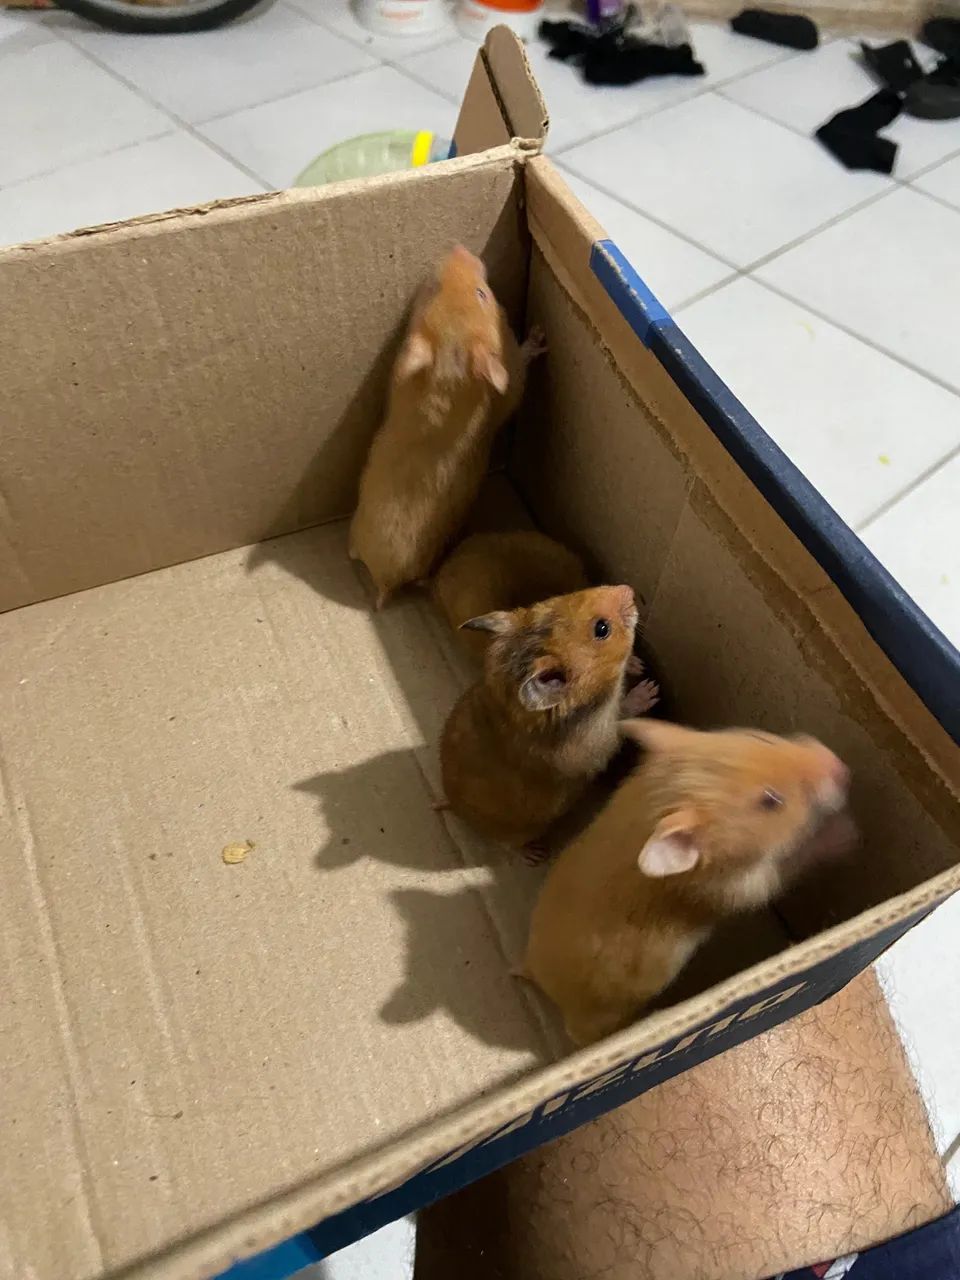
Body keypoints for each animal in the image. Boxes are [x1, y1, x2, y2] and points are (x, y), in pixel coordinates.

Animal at [349, 246, 546, 608]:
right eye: (483, 294)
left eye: (431, 291)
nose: (459, 248)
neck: (447, 369)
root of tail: (382, 580)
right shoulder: (511, 380)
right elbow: (519, 374)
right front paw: (539, 336)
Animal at [439, 584, 647, 850]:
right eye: (602, 629)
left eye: (562, 597)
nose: (629, 589)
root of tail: (451, 805)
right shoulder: (600, 742)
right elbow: (623, 715)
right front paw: (650, 689)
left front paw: (638, 664)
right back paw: (534, 853)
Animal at [522, 718, 853, 1046]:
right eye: (771, 800)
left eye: (761, 738)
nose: (841, 766)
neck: (646, 809)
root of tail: (539, 980)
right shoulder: (729, 888)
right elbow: (782, 871)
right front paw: (846, 833)